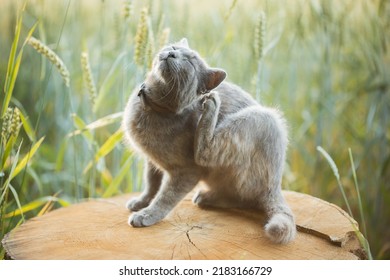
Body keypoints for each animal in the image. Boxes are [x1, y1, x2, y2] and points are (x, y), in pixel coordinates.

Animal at [122, 38, 296, 244]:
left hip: (263, 119)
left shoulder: (187, 171)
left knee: (211, 160)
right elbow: (151, 183)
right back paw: (206, 197)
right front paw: (141, 202)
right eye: (173, 47)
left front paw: (147, 214)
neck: (154, 108)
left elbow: (165, 197)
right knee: (240, 197)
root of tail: (276, 185)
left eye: (189, 62)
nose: (172, 53)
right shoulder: (151, 161)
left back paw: (211, 105)